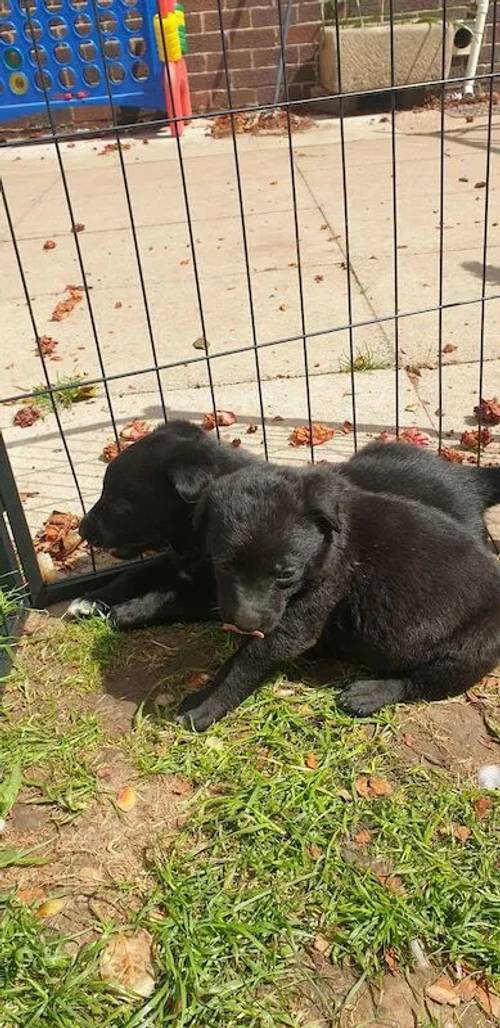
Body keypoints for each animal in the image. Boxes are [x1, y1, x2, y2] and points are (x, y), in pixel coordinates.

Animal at [69, 417, 254, 625]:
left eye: (118, 503)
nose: (81, 530)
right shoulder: (172, 560)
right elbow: (135, 573)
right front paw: (89, 600)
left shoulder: (217, 596)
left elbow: (173, 598)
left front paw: (125, 612)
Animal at [176, 458, 500, 731]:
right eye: (223, 565)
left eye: (286, 574)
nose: (245, 623)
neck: (328, 544)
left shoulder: (313, 605)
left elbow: (246, 661)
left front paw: (208, 703)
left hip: (472, 649)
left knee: (421, 682)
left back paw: (369, 693)